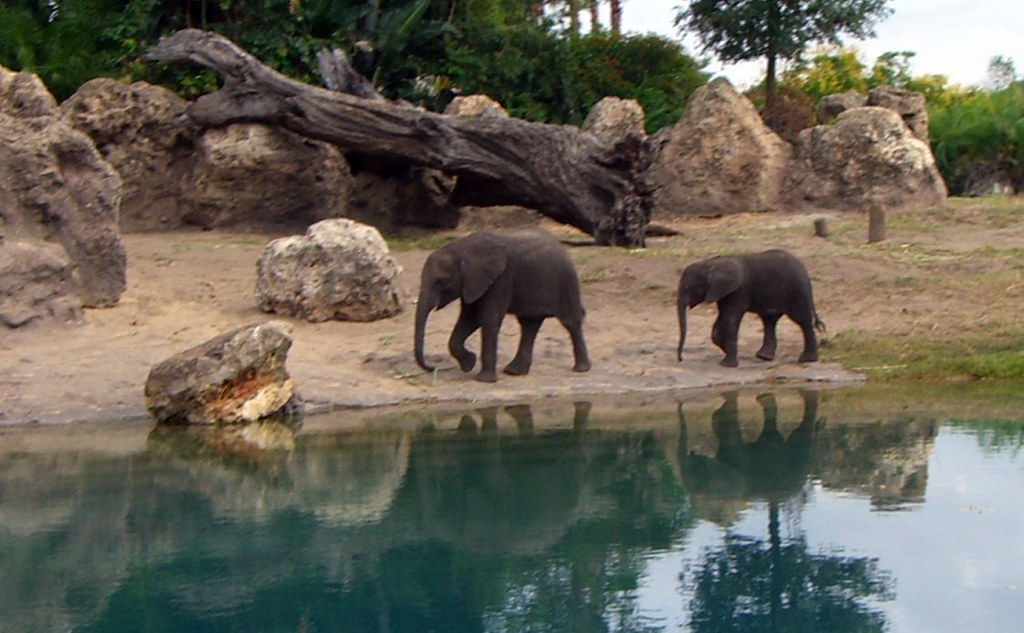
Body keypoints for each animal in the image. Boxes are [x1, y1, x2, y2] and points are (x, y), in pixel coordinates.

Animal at [414, 229, 591, 383]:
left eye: (441, 281)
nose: (433, 368)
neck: (462, 248)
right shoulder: (473, 282)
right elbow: (470, 318)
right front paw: (469, 364)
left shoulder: (501, 279)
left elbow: (487, 318)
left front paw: (483, 380)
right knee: (529, 324)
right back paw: (514, 371)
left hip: (566, 280)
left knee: (570, 320)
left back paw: (581, 369)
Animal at [676, 249, 825, 367]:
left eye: (688, 287)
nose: (680, 359)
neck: (710, 264)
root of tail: (805, 270)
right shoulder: (723, 291)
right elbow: (723, 317)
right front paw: (724, 349)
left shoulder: (739, 290)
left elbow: (731, 318)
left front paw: (727, 364)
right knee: (769, 320)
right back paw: (764, 357)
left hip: (797, 290)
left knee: (802, 321)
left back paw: (807, 360)